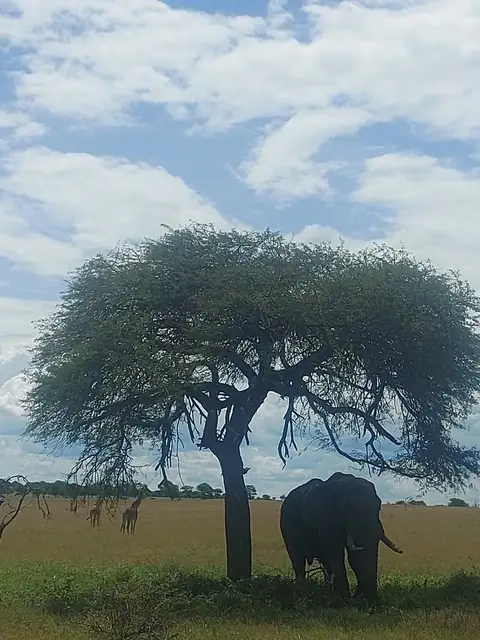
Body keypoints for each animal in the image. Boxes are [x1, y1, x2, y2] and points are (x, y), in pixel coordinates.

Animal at [280, 472, 403, 604]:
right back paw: (302, 593)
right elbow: (337, 554)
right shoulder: (326, 518)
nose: (372, 601)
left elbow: (355, 557)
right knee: (298, 560)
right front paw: (345, 600)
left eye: (379, 507)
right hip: (286, 527)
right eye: (347, 507)